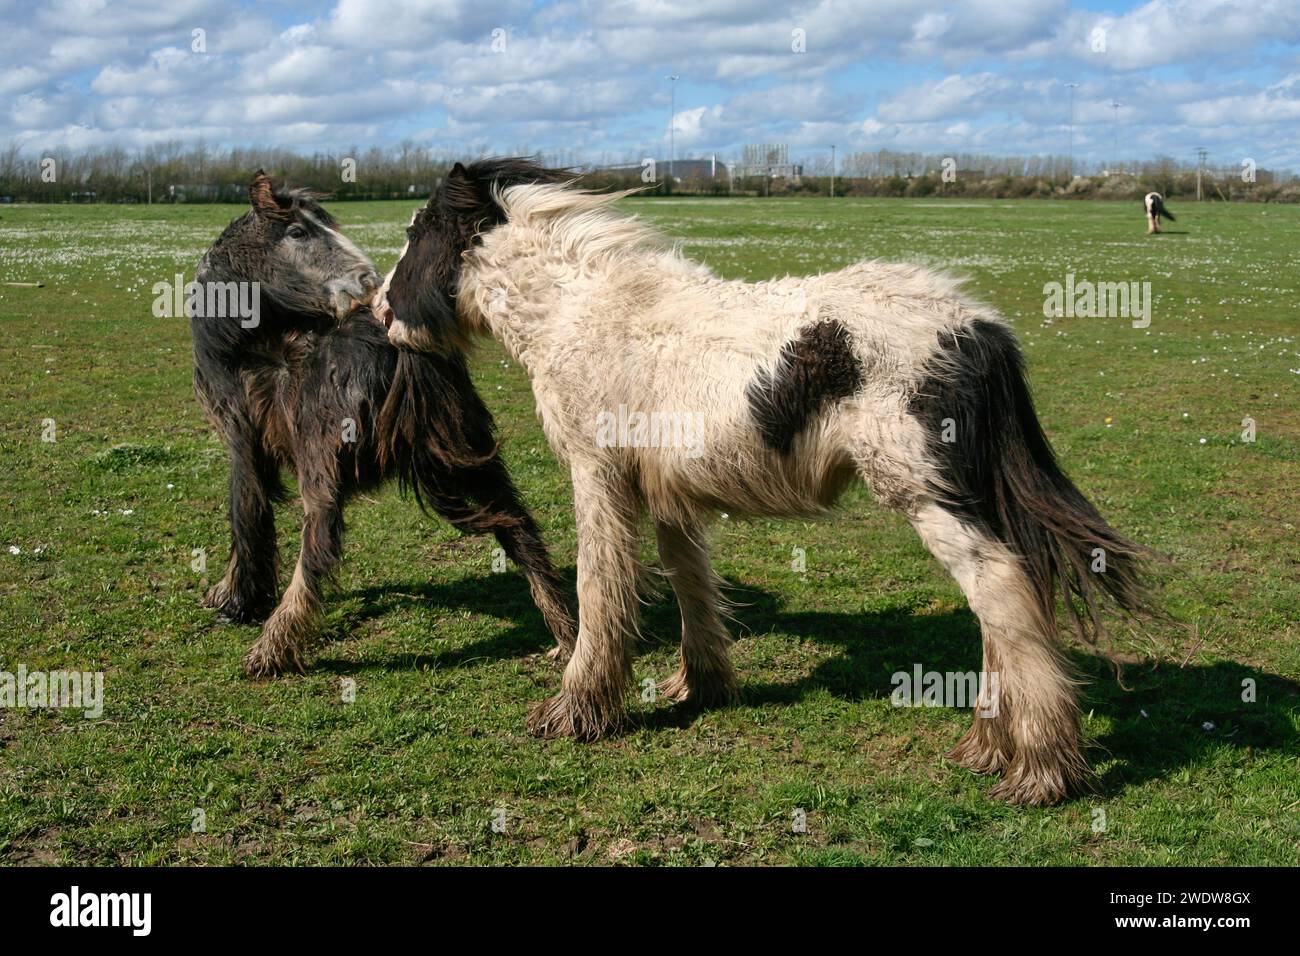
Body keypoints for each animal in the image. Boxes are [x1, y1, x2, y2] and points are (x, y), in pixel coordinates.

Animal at [189, 174, 574, 681]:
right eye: (297, 232)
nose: (369, 281)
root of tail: (398, 347)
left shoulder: (241, 443)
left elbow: (246, 517)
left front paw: (234, 599)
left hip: (322, 471)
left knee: (318, 550)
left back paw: (271, 649)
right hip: (474, 459)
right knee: (522, 531)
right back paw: (566, 632)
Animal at [371, 160, 1154, 806]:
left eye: (418, 234)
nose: (378, 308)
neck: (578, 313)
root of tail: (977, 330)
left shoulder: (599, 478)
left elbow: (599, 590)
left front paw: (576, 710)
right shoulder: (667, 495)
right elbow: (689, 584)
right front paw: (701, 686)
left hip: (925, 497)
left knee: (1001, 590)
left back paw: (1040, 770)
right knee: (1003, 601)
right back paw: (990, 748)